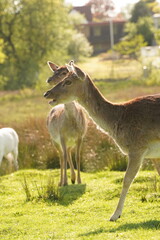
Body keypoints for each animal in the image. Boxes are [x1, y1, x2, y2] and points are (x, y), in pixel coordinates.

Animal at [44, 61, 160, 221]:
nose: (47, 93)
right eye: (63, 77)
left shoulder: (137, 148)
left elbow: (126, 179)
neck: (119, 119)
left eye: (68, 81)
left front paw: (115, 215)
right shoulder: (152, 153)